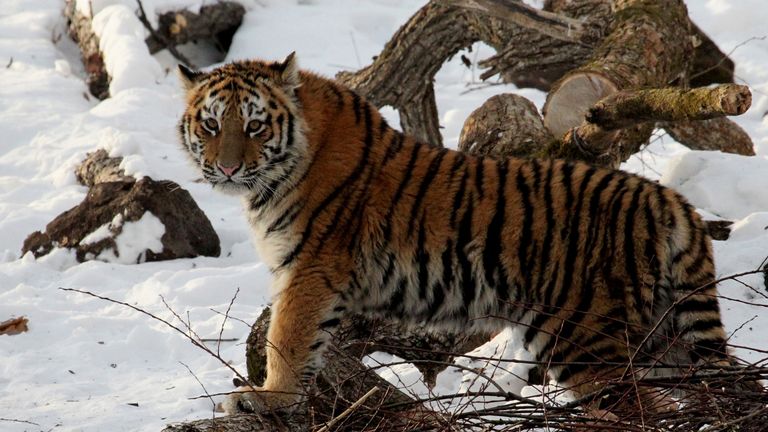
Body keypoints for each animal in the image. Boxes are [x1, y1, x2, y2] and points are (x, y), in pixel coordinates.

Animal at [176, 53, 747, 416]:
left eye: (254, 126)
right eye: (211, 125)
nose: (226, 169)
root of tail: (670, 202)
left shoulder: (309, 269)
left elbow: (287, 340)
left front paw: (265, 398)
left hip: (586, 337)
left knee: (642, 410)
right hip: (664, 334)